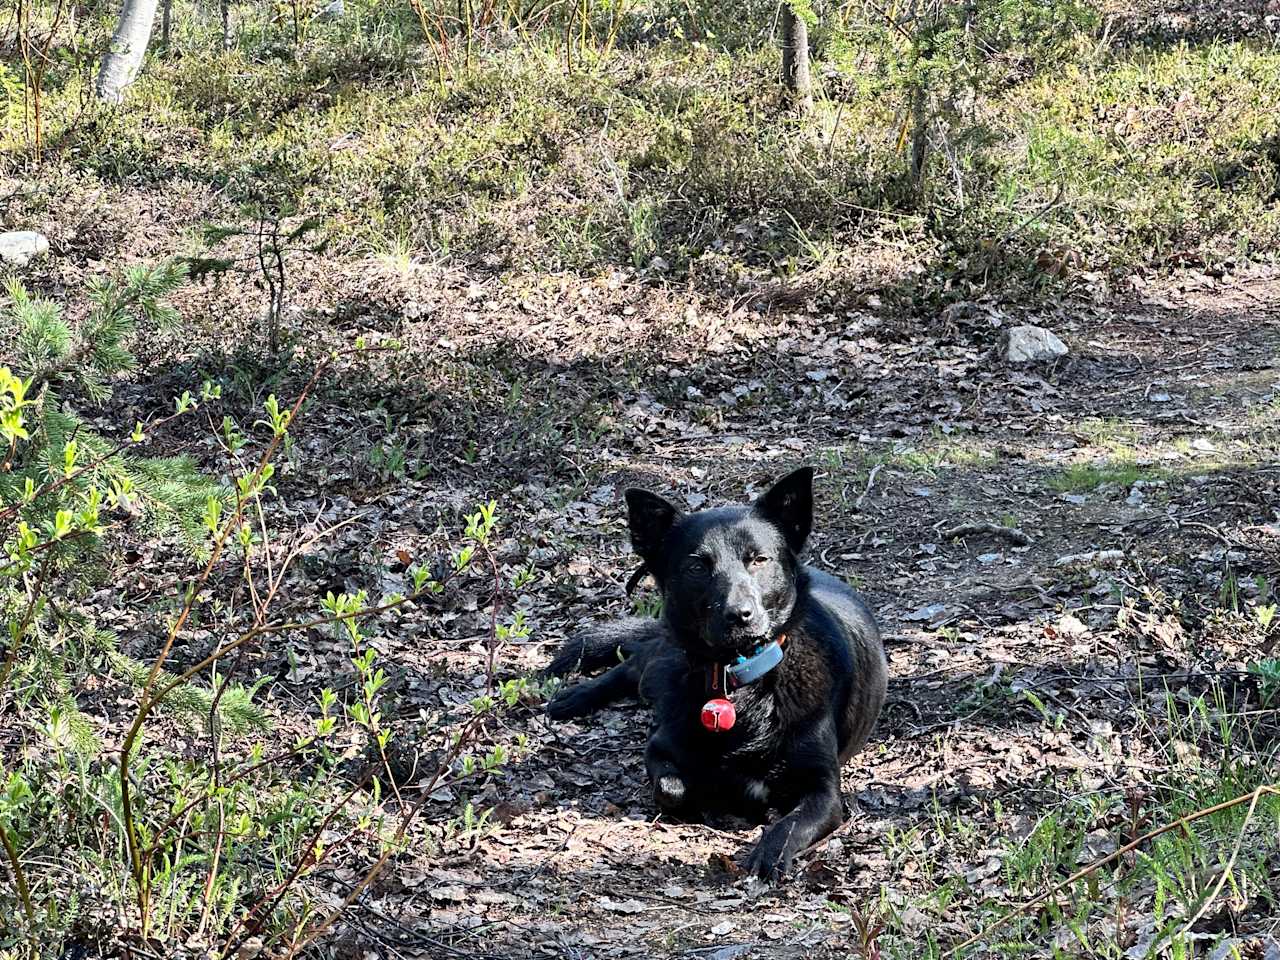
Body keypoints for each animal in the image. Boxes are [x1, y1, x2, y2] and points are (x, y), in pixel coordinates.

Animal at [542, 465, 890, 880]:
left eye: (759, 560)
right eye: (697, 567)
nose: (739, 615)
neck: (737, 677)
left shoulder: (824, 792)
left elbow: (789, 825)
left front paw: (767, 852)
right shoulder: (660, 746)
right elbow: (672, 789)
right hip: (664, 660)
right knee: (633, 664)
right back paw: (573, 698)